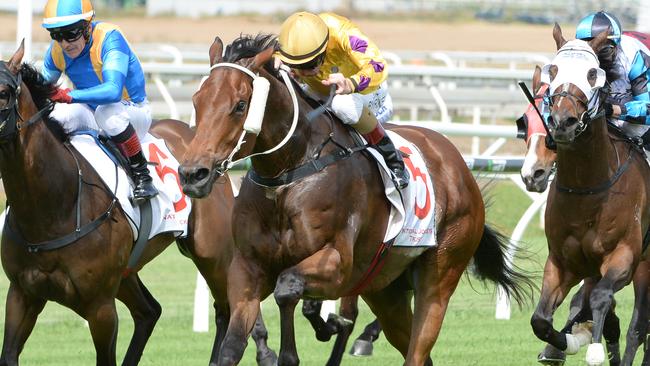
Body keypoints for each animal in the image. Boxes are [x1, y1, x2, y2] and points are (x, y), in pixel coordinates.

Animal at [0, 44, 274, 366]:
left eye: (4, 91)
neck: (52, 207)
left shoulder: (100, 306)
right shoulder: (21, 295)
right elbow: (9, 353)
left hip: (214, 255)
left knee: (227, 310)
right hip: (127, 273)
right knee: (149, 311)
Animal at [177, 33, 532, 364]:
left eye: (240, 105)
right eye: (197, 100)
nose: (193, 173)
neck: (289, 175)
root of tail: (457, 163)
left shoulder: (337, 262)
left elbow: (288, 288)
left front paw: (321, 329)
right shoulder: (247, 269)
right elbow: (233, 345)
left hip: (440, 276)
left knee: (418, 350)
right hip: (386, 290)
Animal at [528, 24, 650, 364]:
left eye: (592, 73)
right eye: (554, 69)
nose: (564, 122)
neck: (587, 190)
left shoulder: (625, 256)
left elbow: (601, 297)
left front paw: (592, 347)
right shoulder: (563, 262)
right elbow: (541, 320)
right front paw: (563, 343)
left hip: (645, 266)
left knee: (639, 326)